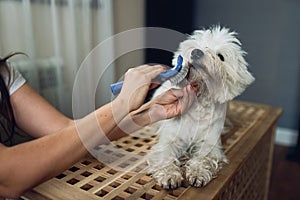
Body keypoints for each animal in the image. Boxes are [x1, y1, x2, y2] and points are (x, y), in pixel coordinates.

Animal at [146, 25, 254, 189]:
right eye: (198, 45)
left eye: (221, 56)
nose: (196, 52)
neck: (199, 103)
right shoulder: (169, 141)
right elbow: (165, 157)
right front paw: (169, 175)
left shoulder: (209, 145)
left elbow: (203, 159)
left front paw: (198, 174)